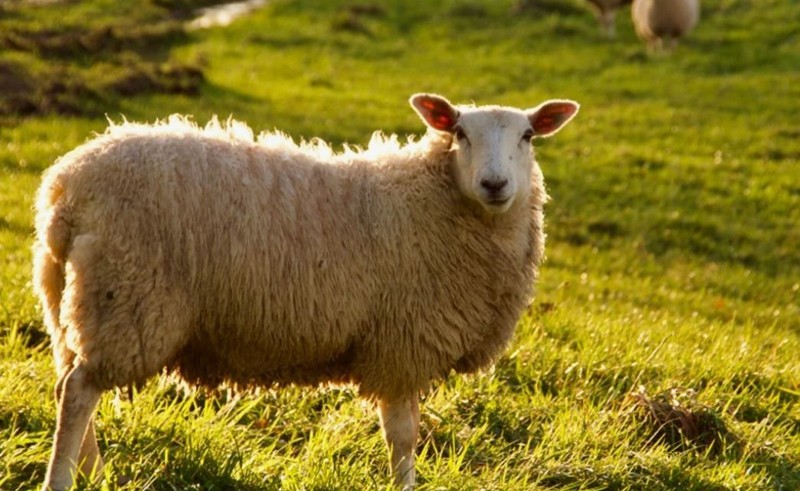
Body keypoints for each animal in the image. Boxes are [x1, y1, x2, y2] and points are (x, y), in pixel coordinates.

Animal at [34, 93, 580, 491]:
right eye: (460, 133)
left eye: (528, 135)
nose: (495, 184)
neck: (431, 199)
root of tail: (66, 186)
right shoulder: (401, 343)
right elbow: (403, 435)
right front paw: (405, 485)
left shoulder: (403, 345)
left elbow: (407, 430)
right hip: (127, 297)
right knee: (79, 392)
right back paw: (61, 480)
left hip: (70, 301)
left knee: (68, 383)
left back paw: (93, 474)